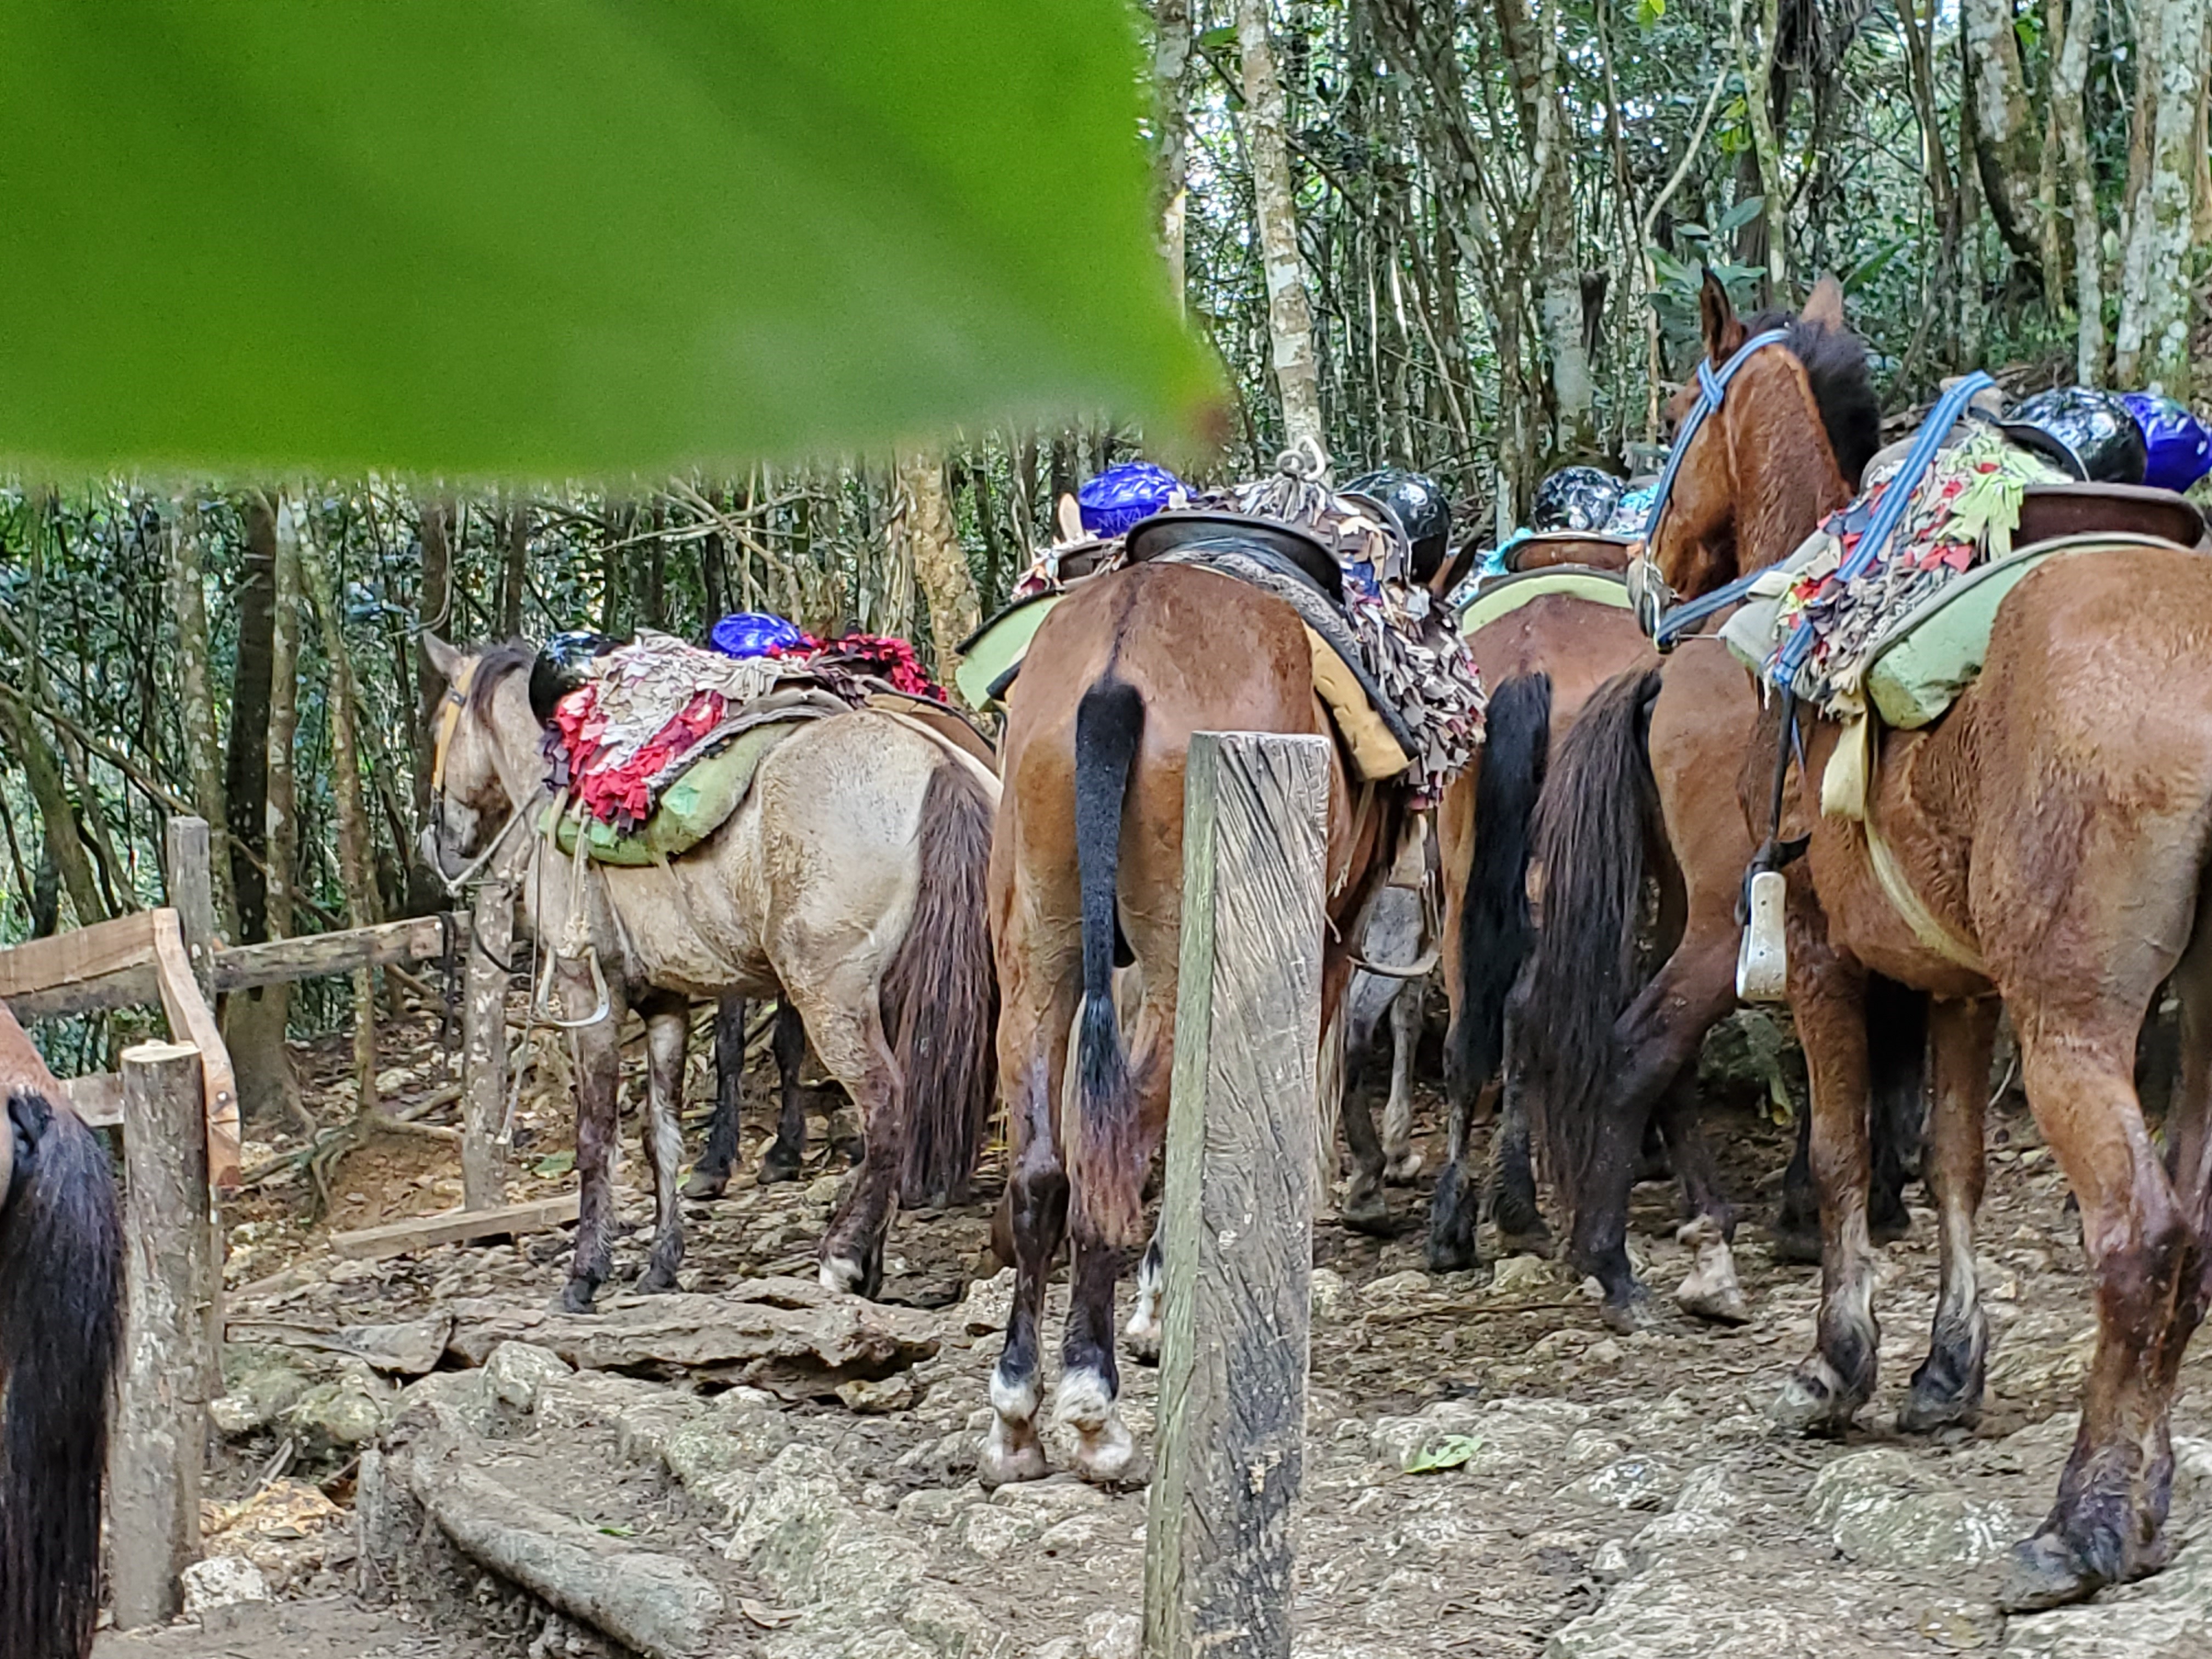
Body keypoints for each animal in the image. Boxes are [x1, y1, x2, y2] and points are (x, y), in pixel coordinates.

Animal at [991, 566, 1398, 1486]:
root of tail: (1117, 664)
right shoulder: (1324, 949)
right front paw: (1157, 1305)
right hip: (1194, 945)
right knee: (1121, 1145)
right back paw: (1094, 1406)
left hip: (1037, 939)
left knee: (1043, 1171)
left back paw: (1017, 1414)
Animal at [1637, 283, 2212, 1610]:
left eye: (1673, 411)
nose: (1649, 575)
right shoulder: (1958, 986)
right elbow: (1954, 1163)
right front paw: (1948, 1370)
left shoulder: (1818, 954)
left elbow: (1843, 1153)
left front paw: (1835, 1365)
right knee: (2200, 1239)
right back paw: (2145, 1494)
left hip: (2072, 1025)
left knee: (2145, 1240)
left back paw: (2081, 1523)